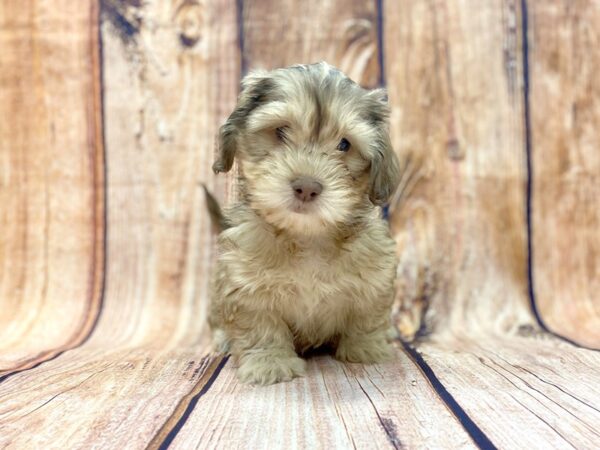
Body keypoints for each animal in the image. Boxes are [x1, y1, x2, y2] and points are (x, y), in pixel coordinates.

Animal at [209, 60, 400, 384]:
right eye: (281, 131)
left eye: (344, 145)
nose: (307, 187)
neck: (308, 237)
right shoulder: (244, 283)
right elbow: (260, 325)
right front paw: (269, 362)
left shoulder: (376, 274)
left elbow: (367, 314)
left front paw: (367, 347)